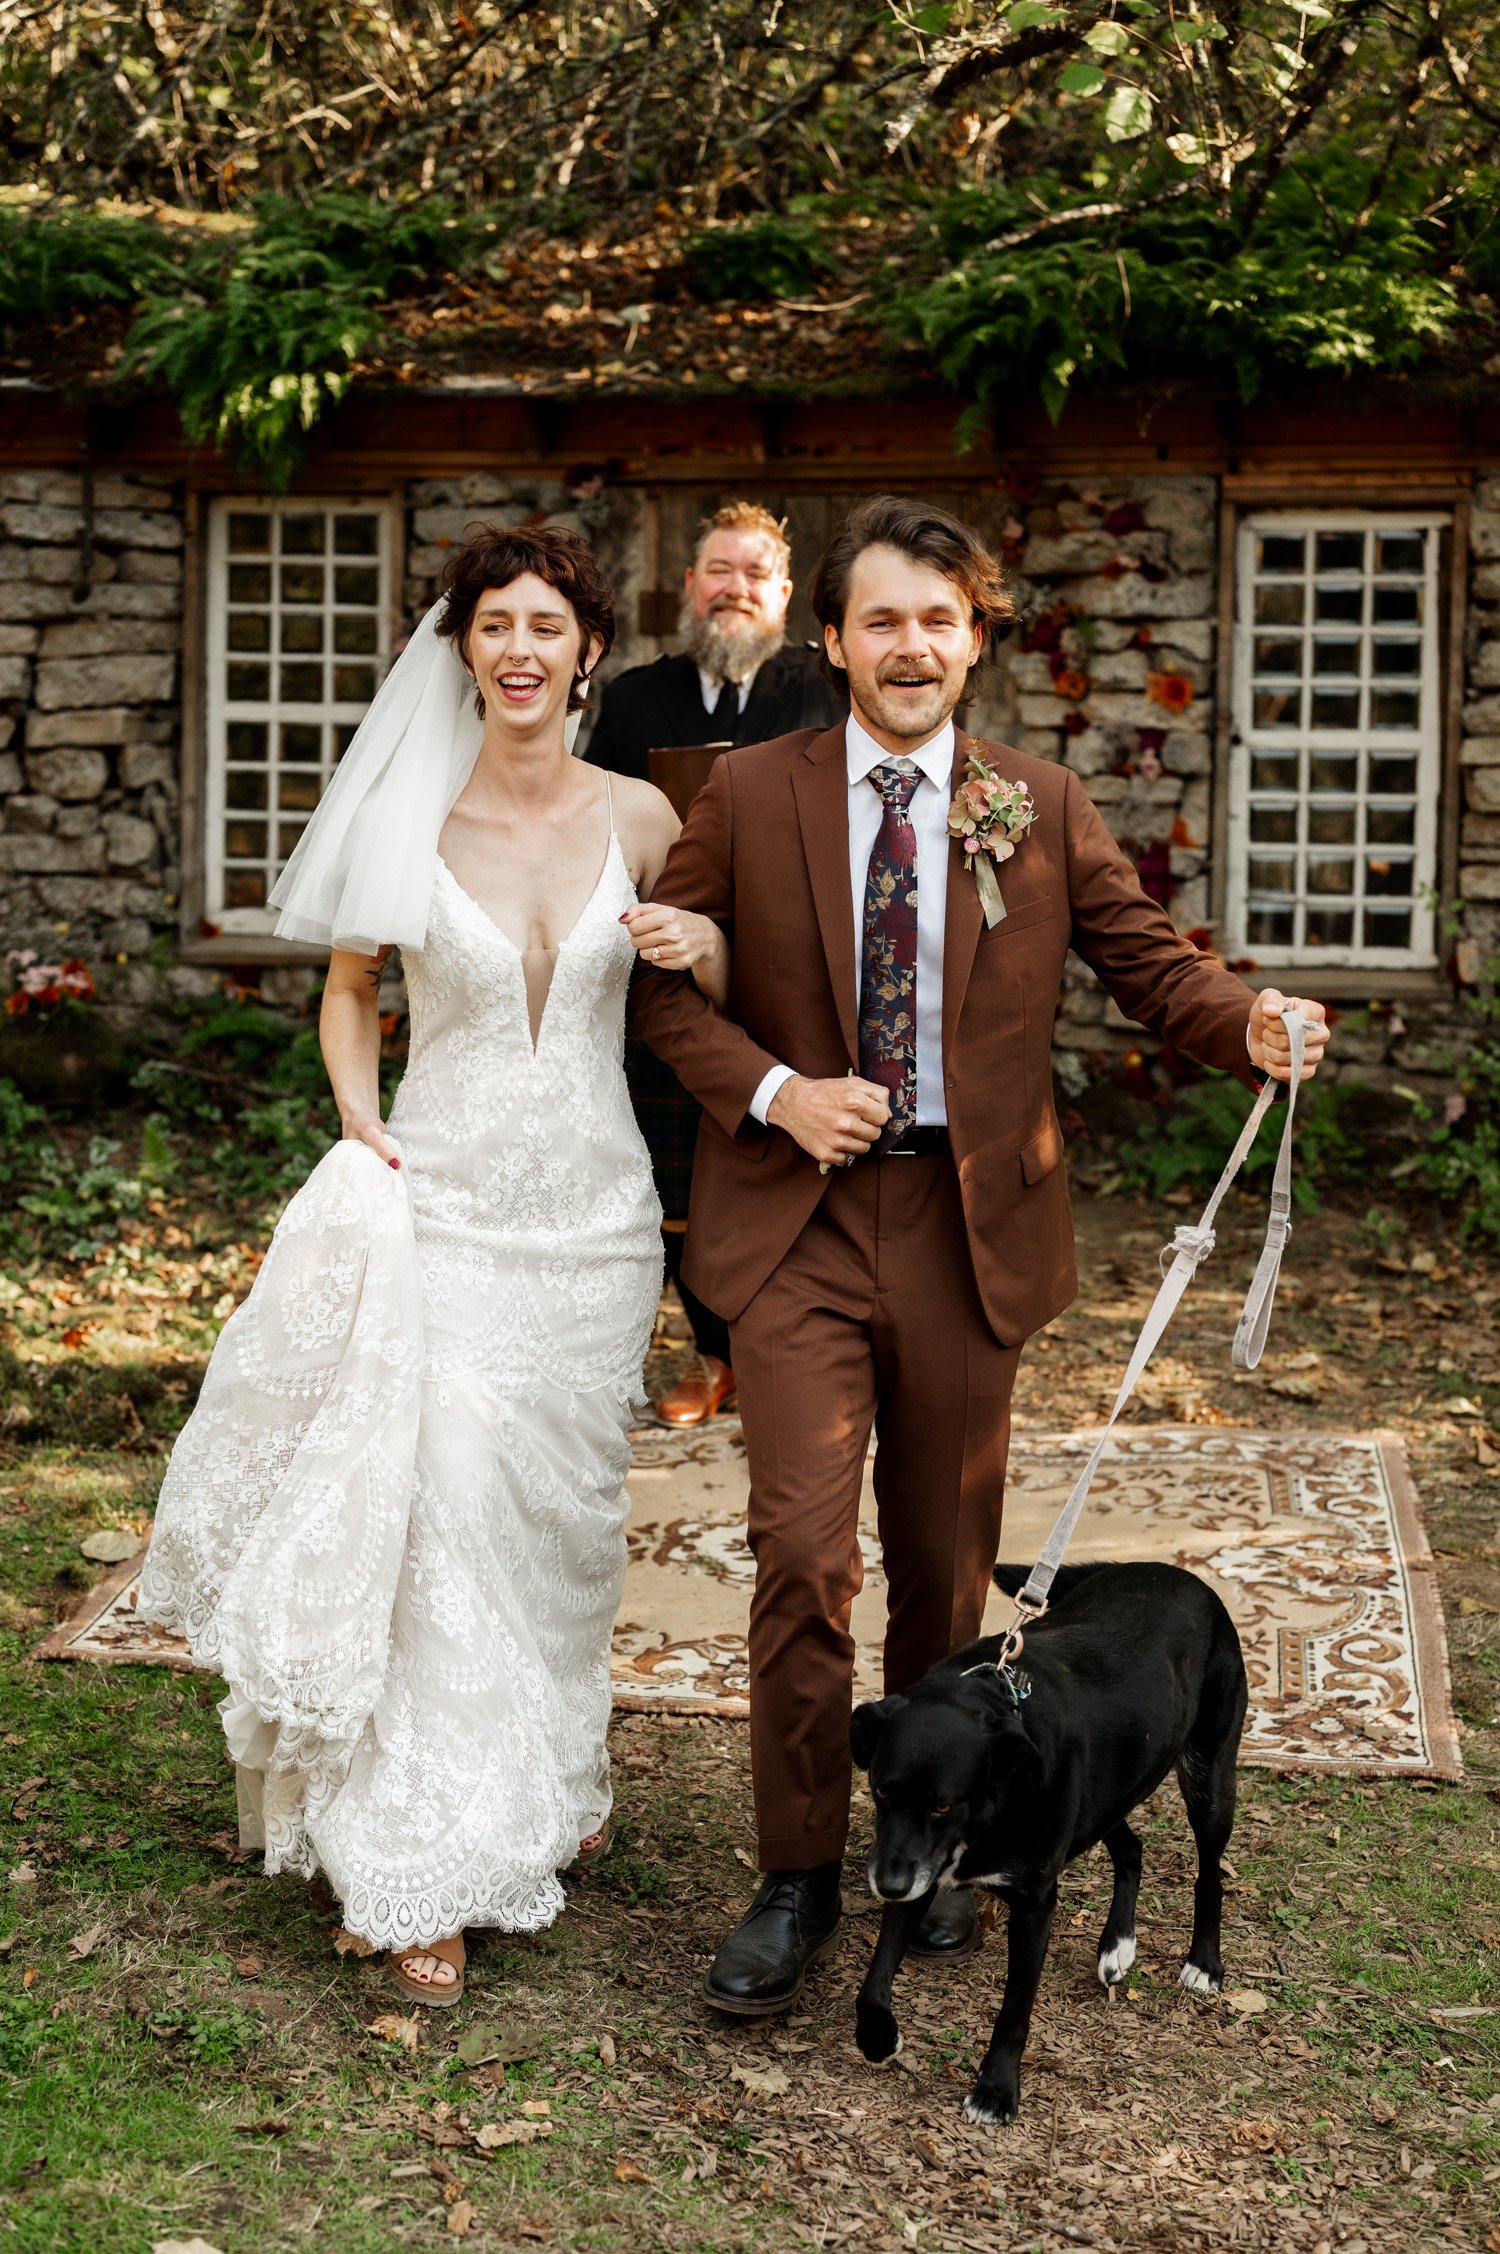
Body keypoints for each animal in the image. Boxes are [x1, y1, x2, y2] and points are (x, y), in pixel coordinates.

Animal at [848, 1559, 1245, 2118]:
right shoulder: (919, 1870)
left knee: (1209, 1873)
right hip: (1106, 1794)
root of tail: (1173, 1571)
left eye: (943, 1805)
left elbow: (1015, 2009)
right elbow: (876, 1979)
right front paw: (878, 2036)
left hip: (1208, 1779)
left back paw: (1205, 1964)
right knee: (1132, 1849)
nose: (886, 1885)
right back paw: (1117, 1944)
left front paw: (996, 2090)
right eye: (881, 1791)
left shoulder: (1034, 1902)